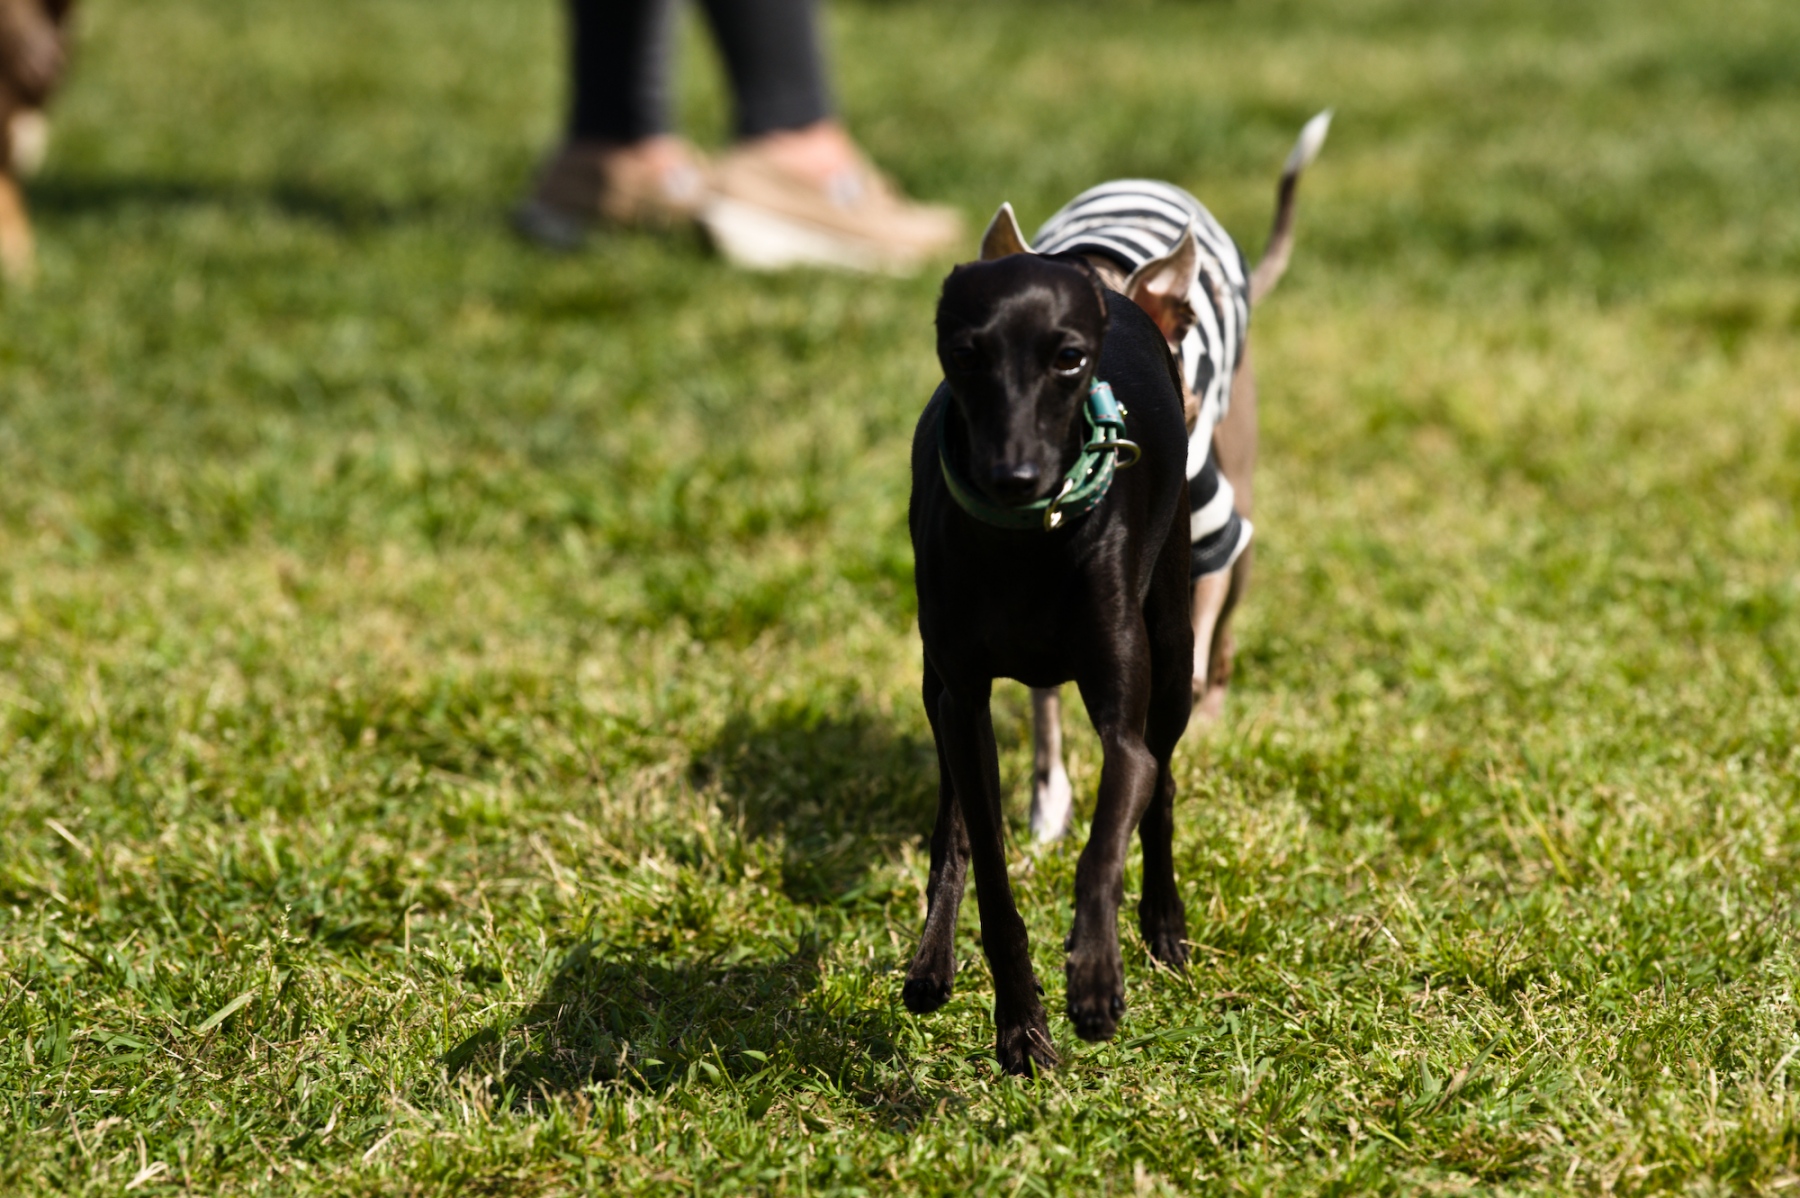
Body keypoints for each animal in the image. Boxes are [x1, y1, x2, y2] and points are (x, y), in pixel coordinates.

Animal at [904, 213, 1197, 1074]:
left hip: (1175, 654)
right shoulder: (963, 703)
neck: (1026, 543)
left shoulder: (1124, 721)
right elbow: (988, 871)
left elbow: (1105, 841)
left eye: (1068, 358)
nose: (1016, 477)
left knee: (1161, 784)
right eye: (966, 354)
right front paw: (1020, 1025)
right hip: (936, 688)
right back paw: (930, 963)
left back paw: (1163, 924)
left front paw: (1095, 978)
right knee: (951, 824)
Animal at [1017, 112, 1332, 843]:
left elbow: (1193, 631)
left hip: (1239, 532)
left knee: (1223, 643)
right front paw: (1049, 804)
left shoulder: (1207, 529)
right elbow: (1045, 706)